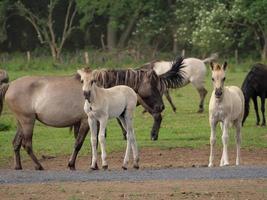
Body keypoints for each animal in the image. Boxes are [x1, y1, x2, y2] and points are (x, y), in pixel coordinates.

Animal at [0, 57, 184, 170]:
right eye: (153, 86)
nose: (161, 107)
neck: (99, 88)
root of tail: (10, 85)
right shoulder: (84, 122)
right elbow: (79, 143)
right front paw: (73, 164)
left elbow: (91, 142)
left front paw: (92, 163)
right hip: (28, 122)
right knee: (27, 144)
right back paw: (39, 166)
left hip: (22, 122)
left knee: (16, 143)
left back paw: (18, 166)